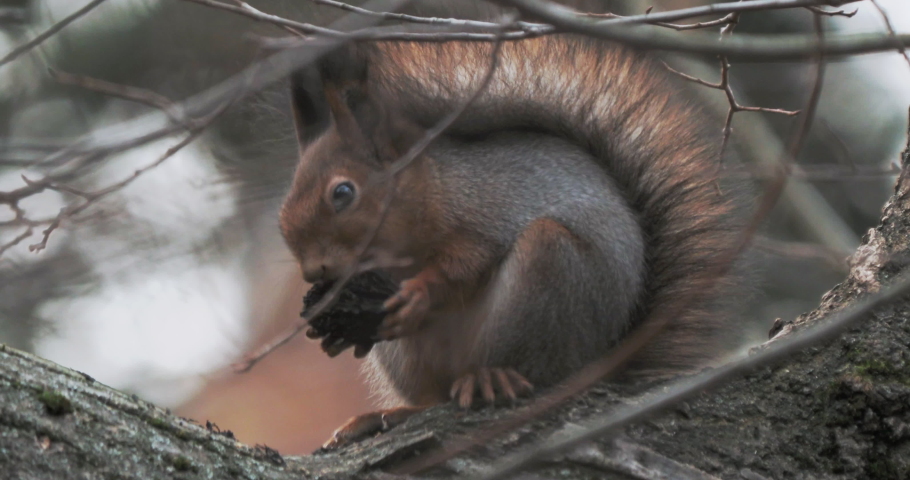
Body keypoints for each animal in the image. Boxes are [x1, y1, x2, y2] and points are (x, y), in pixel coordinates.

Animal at [279, 35, 749, 448]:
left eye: (343, 192)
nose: (314, 270)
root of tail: (602, 358)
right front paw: (336, 330)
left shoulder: (488, 216)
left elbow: (466, 267)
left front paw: (419, 293)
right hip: (408, 358)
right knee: (433, 399)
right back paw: (385, 416)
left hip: (548, 272)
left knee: (534, 372)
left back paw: (493, 377)